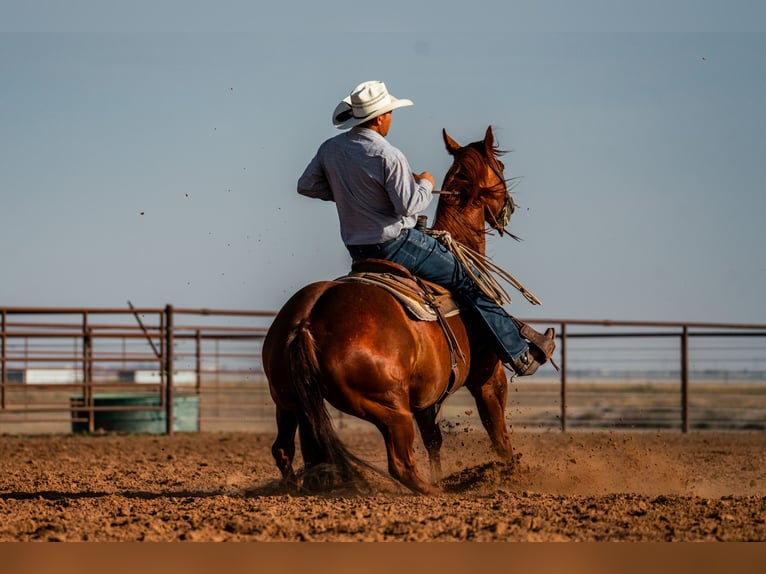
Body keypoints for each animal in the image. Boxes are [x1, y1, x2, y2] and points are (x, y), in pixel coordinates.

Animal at [263, 126, 519, 495]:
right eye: (499, 165)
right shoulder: (488, 376)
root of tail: (306, 323)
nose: (509, 207)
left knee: (285, 450)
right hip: (389, 408)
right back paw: (435, 492)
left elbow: (434, 440)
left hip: (287, 400)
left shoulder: (426, 397)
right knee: (400, 463)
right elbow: (498, 432)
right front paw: (512, 472)